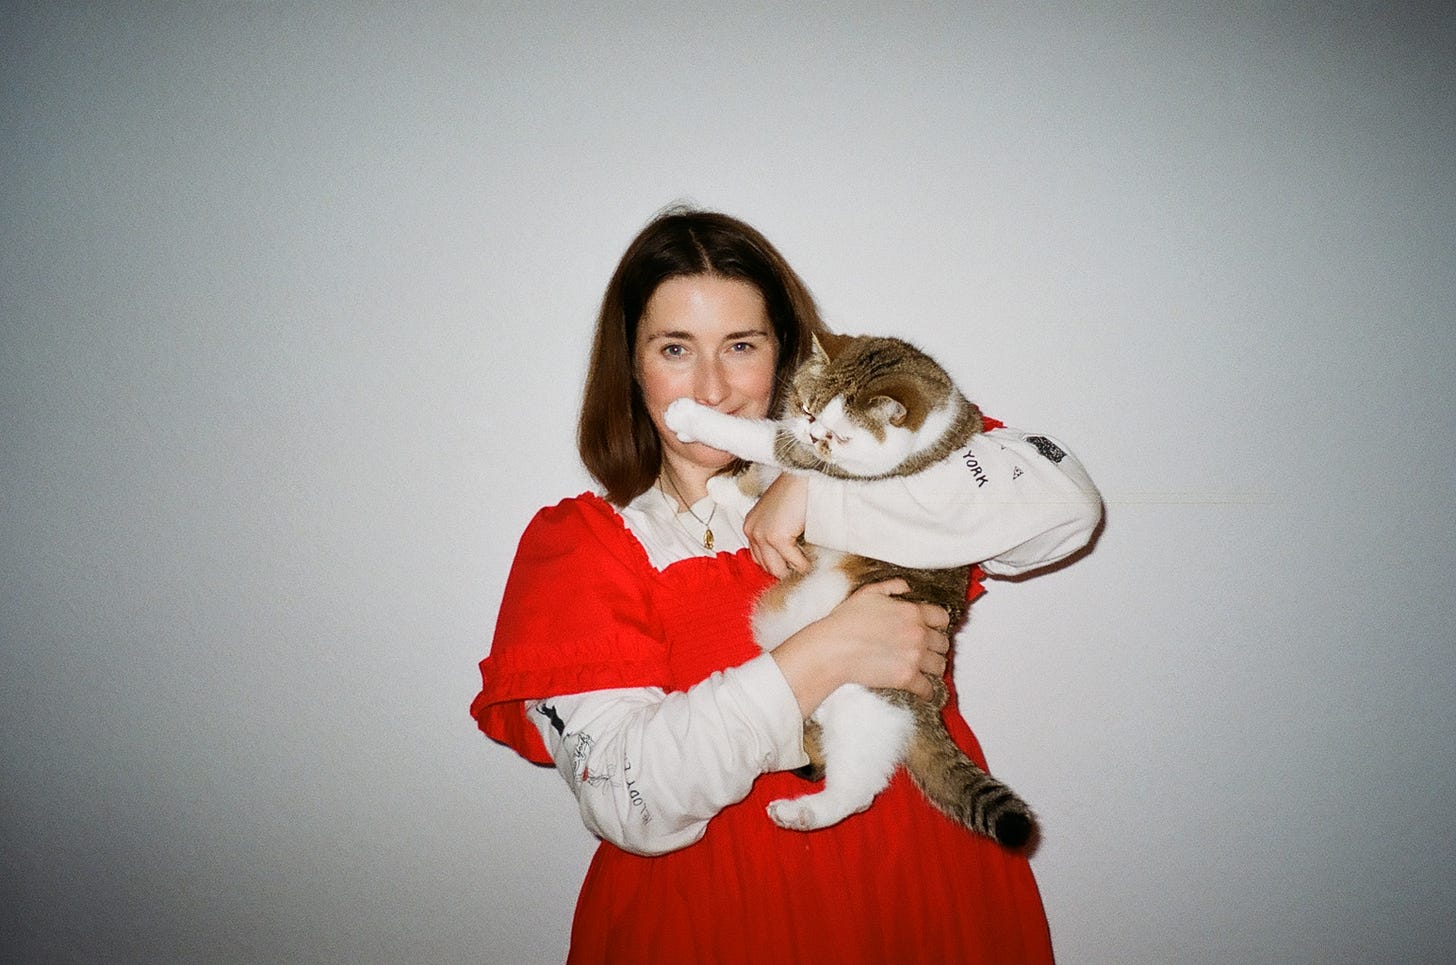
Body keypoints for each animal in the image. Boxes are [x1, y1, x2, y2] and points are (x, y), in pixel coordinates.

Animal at [666, 334, 1042, 855]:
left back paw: (801, 813)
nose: (813, 435)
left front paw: (693, 423)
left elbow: (758, 438)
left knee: (858, 788)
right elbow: (763, 470)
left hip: (865, 700)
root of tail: (928, 707)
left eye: (840, 436)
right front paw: (727, 488)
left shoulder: (808, 461)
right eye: (806, 407)